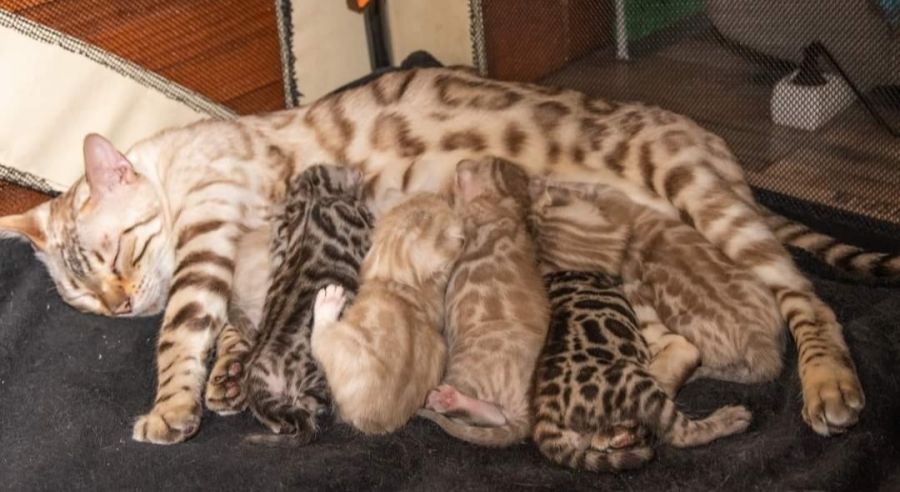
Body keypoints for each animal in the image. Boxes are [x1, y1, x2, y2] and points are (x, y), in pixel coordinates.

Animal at [309, 192, 465, 435]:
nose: (441, 194)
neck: (401, 285)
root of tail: (368, 419)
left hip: (332, 340)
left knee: (318, 336)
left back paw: (329, 301)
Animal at [417, 156, 550, 447]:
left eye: (481, 161)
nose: (461, 161)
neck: (504, 207)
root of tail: (528, 413)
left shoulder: (462, 224)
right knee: (494, 416)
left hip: (464, 362)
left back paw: (447, 398)